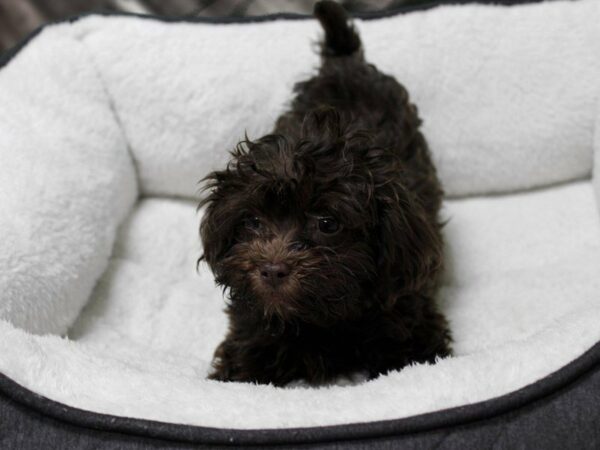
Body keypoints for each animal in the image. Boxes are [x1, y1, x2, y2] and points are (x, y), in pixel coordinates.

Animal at [200, 0, 450, 386]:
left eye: (327, 224)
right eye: (252, 222)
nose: (271, 270)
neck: (320, 321)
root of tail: (345, 62)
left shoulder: (410, 318)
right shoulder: (252, 329)